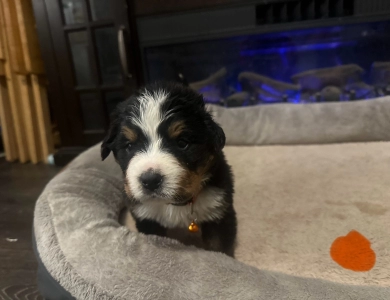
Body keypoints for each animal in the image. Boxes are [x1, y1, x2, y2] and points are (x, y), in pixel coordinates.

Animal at [100, 82, 236, 258]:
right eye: (129, 146)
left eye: (182, 143)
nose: (150, 180)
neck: (176, 205)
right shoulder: (147, 219)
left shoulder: (219, 212)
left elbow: (219, 250)